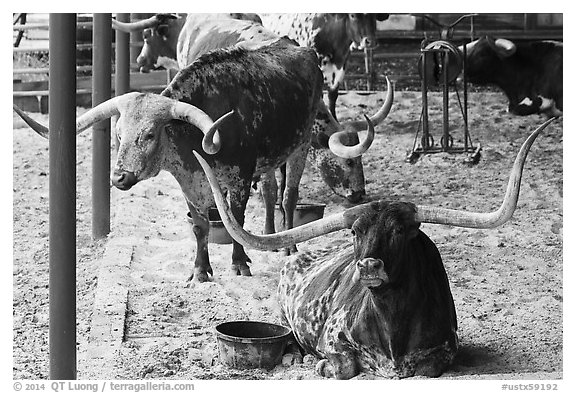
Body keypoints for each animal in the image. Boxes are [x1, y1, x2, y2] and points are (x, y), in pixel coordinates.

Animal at [195, 118, 560, 376]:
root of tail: (298, 256)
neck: (391, 320)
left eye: (399, 230)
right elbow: (342, 365)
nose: (369, 266)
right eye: (355, 232)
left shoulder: (445, 349)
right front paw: (320, 364)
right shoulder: (332, 339)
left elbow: (426, 368)